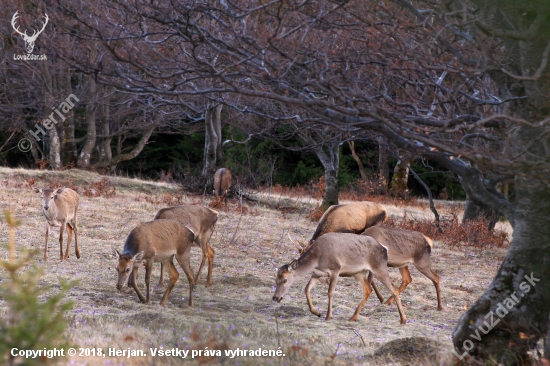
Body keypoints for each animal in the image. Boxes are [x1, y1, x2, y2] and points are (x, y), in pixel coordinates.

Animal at [274, 233, 408, 324]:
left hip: (379, 267)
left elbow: (330, 292)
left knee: (394, 290)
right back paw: (353, 317)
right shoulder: (317, 274)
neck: (317, 259)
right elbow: (306, 289)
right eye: (276, 279)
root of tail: (384, 248)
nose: (275, 297)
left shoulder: (335, 269)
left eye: (285, 280)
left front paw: (328, 316)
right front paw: (317, 312)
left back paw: (403, 319)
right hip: (358, 272)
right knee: (367, 290)